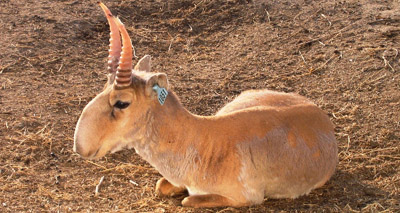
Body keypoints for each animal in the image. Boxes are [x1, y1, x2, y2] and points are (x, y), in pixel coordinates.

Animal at [72, 2, 338, 207]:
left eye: (122, 102)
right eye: (103, 87)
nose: (80, 146)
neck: (202, 140)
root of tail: (320, 116)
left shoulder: (246, 198)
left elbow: (188, 199)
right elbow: (161, 185)